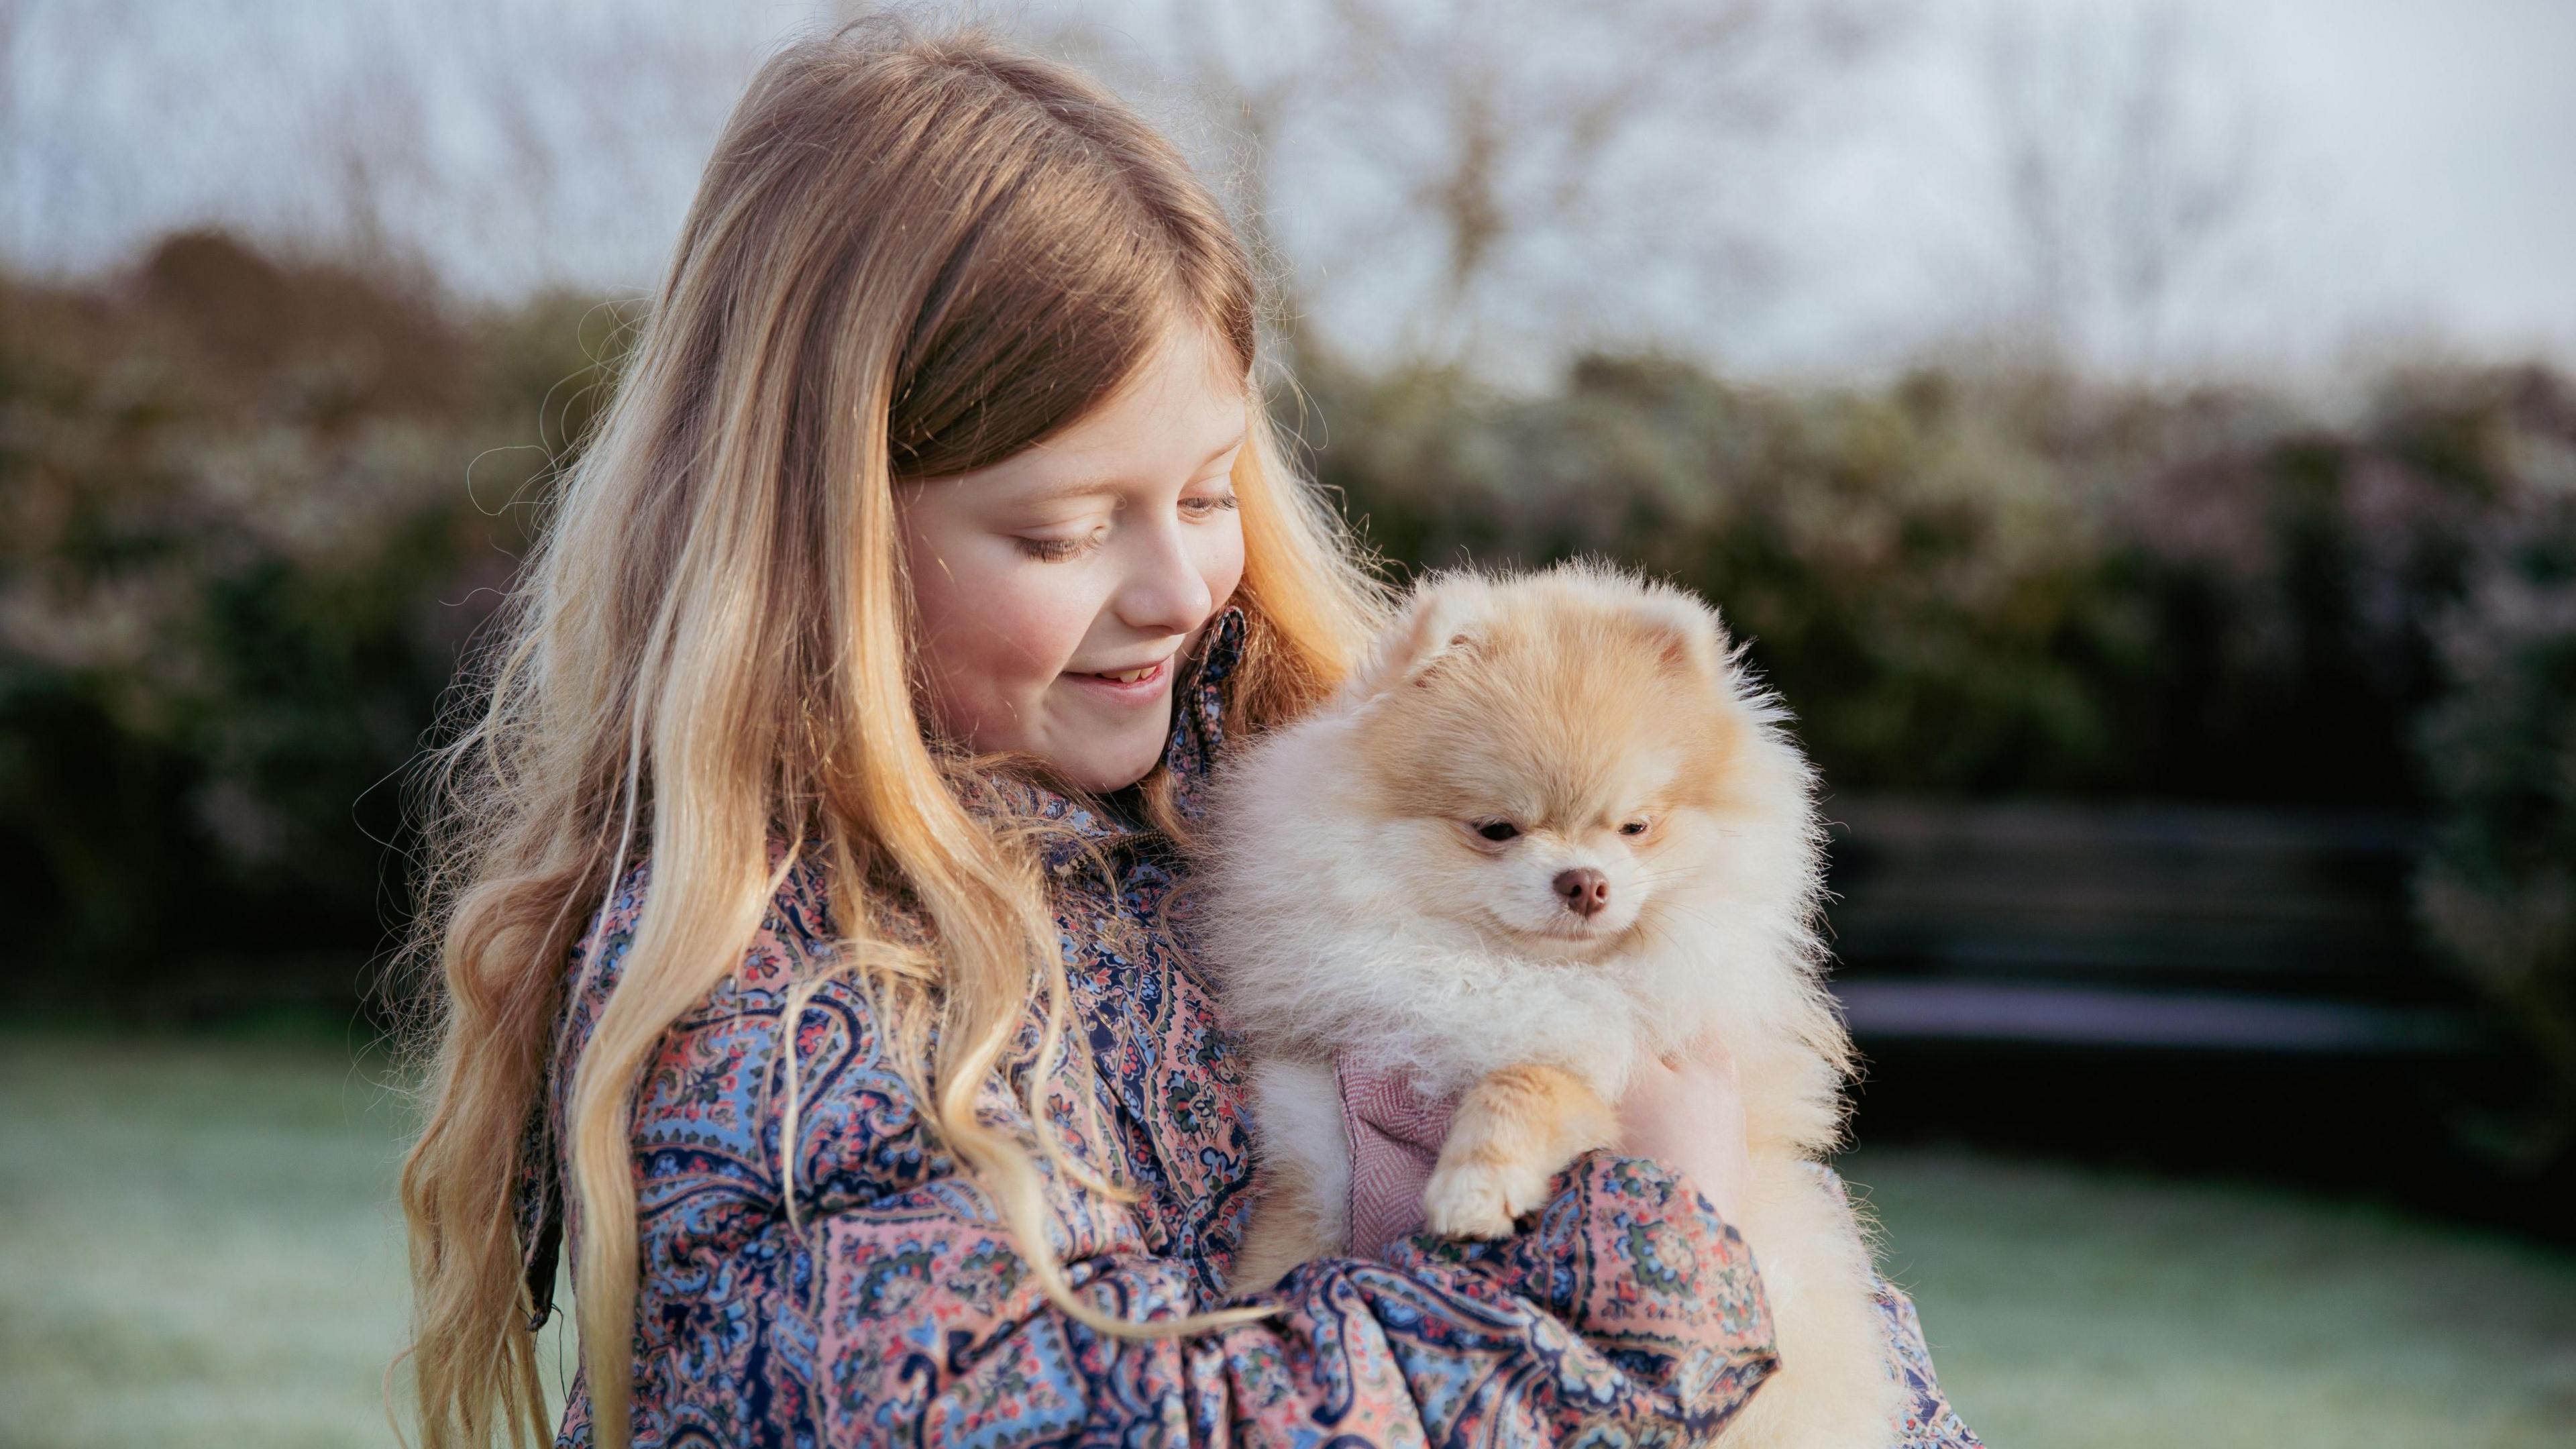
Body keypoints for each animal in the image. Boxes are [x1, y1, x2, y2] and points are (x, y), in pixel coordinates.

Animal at [1200, 561, 1896, 1444]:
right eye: (1497, 828)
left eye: (1635, 827)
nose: (1585, 882)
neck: (1507, 972)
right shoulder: (1317, 1147)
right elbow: (1282, 1260)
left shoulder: (1609, 1059)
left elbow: (1528, 1079)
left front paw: (1476, 1184)